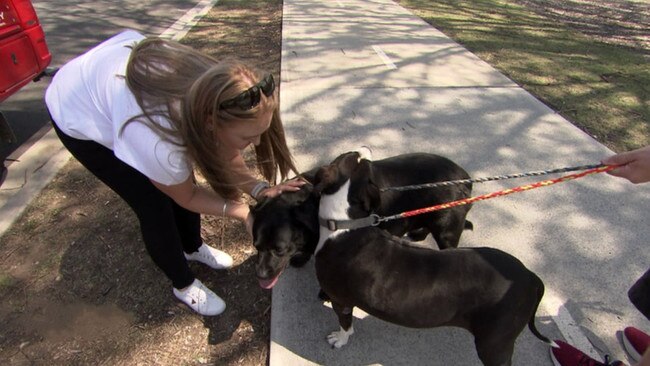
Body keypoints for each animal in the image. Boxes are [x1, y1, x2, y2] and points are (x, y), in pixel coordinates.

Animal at [312, 149, 548, 366]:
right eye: (354, 156)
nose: (363, 148)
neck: (345, 222)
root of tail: (531, 277)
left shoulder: (341, 301)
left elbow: (345, 324)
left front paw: (339, 339)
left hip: (493, 343)